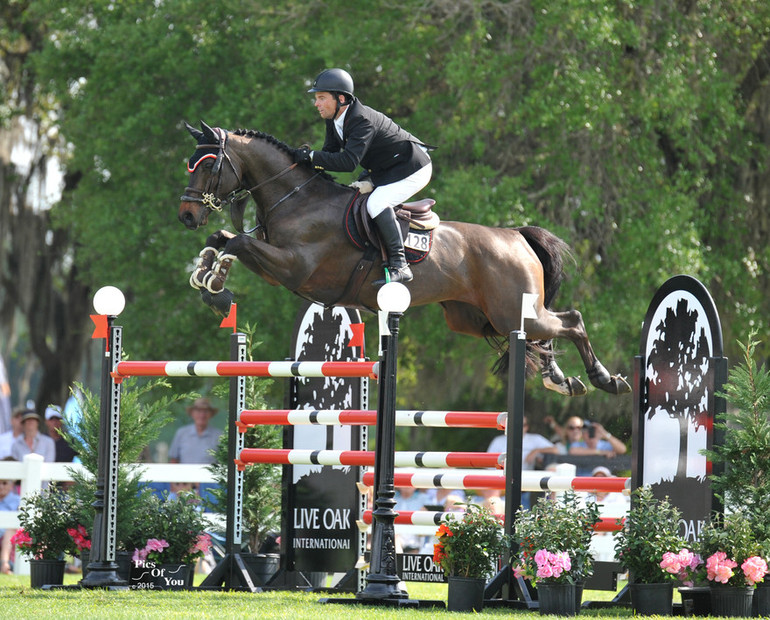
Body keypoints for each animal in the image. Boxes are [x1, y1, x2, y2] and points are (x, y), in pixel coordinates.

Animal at [178, 121, 632, 398]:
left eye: (208, 164)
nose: (186, 216)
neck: (296, 198)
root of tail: (516, 236)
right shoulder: (280, 270)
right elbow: (224, 239)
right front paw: (206, 275)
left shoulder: (294, 268)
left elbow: (237, 243)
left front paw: (216, 289)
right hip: (476, 318)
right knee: (544, 335)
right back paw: (562, 380)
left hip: (511, 311)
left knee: (571, 321)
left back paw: (606, 379)